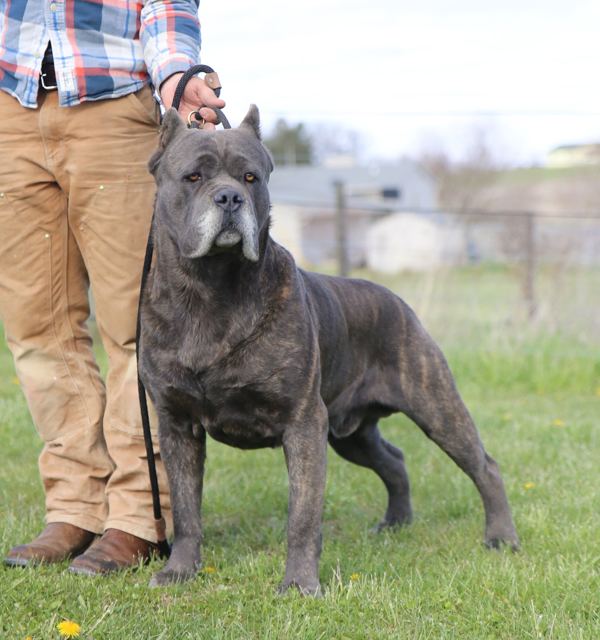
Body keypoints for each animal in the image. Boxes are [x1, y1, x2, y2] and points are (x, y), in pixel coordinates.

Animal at [138, 106, 516, 596]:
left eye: (250, 177)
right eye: (194, 176)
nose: (229, 198)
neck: (210, 290)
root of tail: (396, 300)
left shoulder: (303, 422)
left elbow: (302, 515)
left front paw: (300, 585)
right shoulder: (177, 424)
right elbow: (186, 509)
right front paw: (180, 570)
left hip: (435, 406)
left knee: (484, 465)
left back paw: (501, 537)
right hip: (351, 433)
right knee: (394, 461)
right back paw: (395, 523)